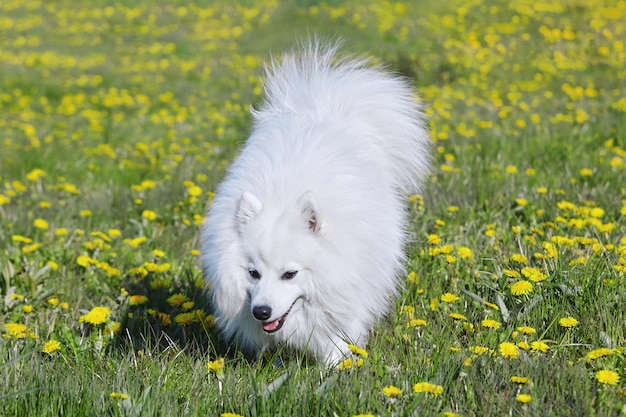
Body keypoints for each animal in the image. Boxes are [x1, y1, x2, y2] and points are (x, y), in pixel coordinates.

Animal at [200, 39, 428, 364]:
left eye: (290, 274)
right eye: (253, 273)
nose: (261, 311)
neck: (283, 196)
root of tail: (321, 106)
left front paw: (336, 363)